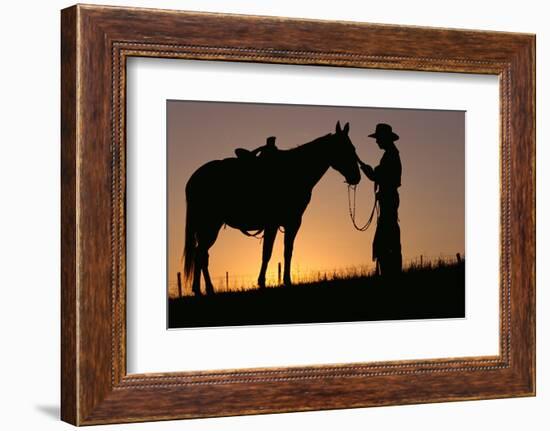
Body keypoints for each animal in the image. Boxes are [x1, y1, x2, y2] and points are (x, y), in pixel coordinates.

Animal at [184, 121, 362, 296]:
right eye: (345, 149)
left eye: (353, 148)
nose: (356, 177)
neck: (295, 172)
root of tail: (194, 179)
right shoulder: (273, 223)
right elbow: (267, 253)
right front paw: (262, 282)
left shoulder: (293, 223)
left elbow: (287, 251)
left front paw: (287, 281)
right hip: (210, 225)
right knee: (201, 255)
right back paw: (208, 289)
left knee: (200, 254)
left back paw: (198, 289)